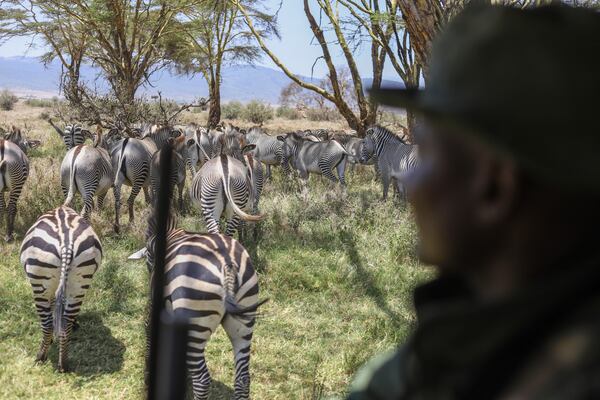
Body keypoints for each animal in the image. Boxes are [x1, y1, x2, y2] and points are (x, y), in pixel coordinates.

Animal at [20, 206, 102, 372]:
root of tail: (66, 245)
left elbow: (52, 311)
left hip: (39, 283)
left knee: (46, 325)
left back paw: (40, 357)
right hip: (80, 283)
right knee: (65, 325)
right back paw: (63, 365)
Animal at [131, 211, 268, 398]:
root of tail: (227, 263)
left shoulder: (156, 307)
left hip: (195, 322)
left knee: (202, 380)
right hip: (243, 323)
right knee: (243, 378)